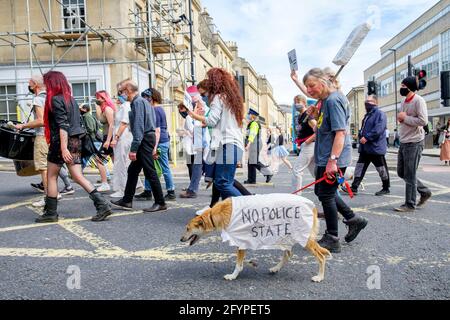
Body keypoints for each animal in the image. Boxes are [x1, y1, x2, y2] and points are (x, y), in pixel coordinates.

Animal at [181, 195, 332, 282]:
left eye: (187, 228)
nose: (181, 239)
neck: (218, 213)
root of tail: (312, 206)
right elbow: (240, 262)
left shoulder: (240, 241)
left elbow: (238, 264)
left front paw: (233, 276)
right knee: (288, 254)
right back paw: (276, 268)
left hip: (304, 239)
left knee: (321, 257)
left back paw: (320, 277)